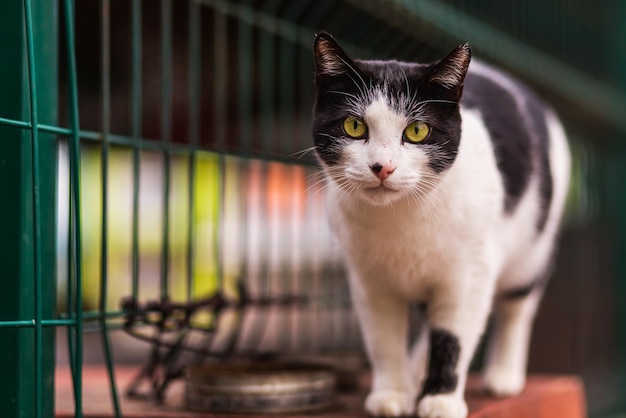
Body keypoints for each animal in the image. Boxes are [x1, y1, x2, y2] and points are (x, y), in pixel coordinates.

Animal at [310, 32, 568, 418]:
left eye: (417, 131)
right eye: (354, 126)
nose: (382, 167)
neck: (400, 220)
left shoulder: (469, 276)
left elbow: (453, 337)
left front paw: (442, 399)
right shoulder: (369, 282)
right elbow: (383, 340)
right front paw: (392, 393)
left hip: (533, 250)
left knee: (517, 308)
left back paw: (503, 375)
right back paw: (416, 370)